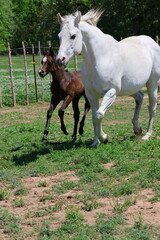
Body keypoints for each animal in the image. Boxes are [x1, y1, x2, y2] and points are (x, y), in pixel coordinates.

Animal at [56, 8, 160, 146]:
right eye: (59, 36)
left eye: (73, 36)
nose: (60, 60)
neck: (100, 59)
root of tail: (152, 42)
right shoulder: (91, 94)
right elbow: (94, 117)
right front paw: (96, 142)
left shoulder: (112, 92)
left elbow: (99, 114)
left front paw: (104, 137)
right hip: (129, 89)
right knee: (140, 97)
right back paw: (137, 129)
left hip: (152, 84)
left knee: (152, 107)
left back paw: (147, 135)